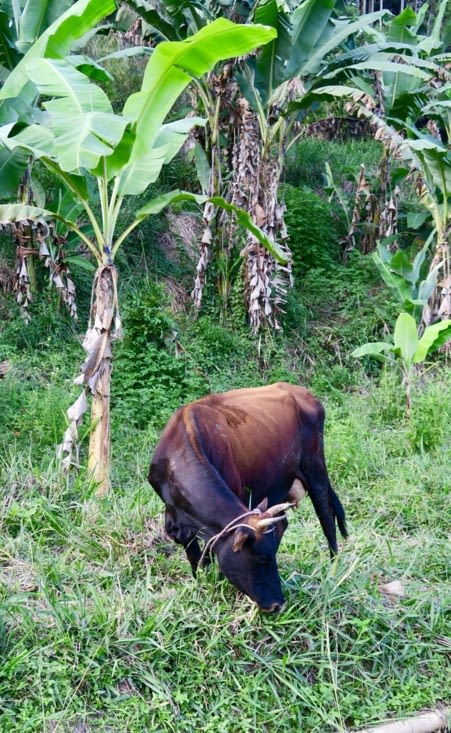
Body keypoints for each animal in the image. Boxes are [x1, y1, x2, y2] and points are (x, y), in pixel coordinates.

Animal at [148, 382, 347, 612]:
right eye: (261, 558)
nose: (277, 605)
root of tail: (304, 393)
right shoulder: (176, 521)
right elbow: (195, 557)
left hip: (315, 467)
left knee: (326, 516)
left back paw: (333, 568)